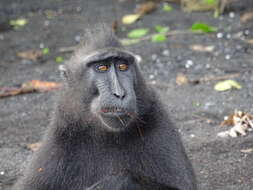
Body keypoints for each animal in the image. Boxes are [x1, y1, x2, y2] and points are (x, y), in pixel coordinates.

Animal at [12, 25, 198, 190]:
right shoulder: (61, 136)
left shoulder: (157, 117)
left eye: (123, 66)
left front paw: (114, 183)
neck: (107, 135)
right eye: (101, 67)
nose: (120, 94)